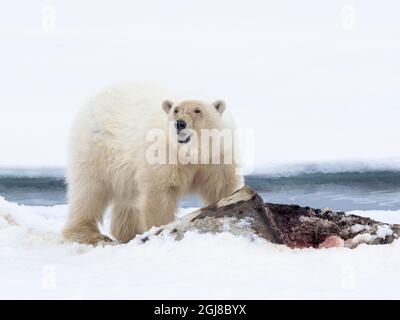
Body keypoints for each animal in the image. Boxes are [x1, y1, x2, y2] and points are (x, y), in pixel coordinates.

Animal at [62, 84, 244, 244]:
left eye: (197, 110)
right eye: (175, 110)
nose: (179, 123)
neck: (192, 152)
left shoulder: (219, 155)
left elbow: (222, 186)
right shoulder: (162, 152)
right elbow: (159, 192)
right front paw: (160, 230)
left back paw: (128, 232)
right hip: (95, 148)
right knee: (88, 190)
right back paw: (89, 234)